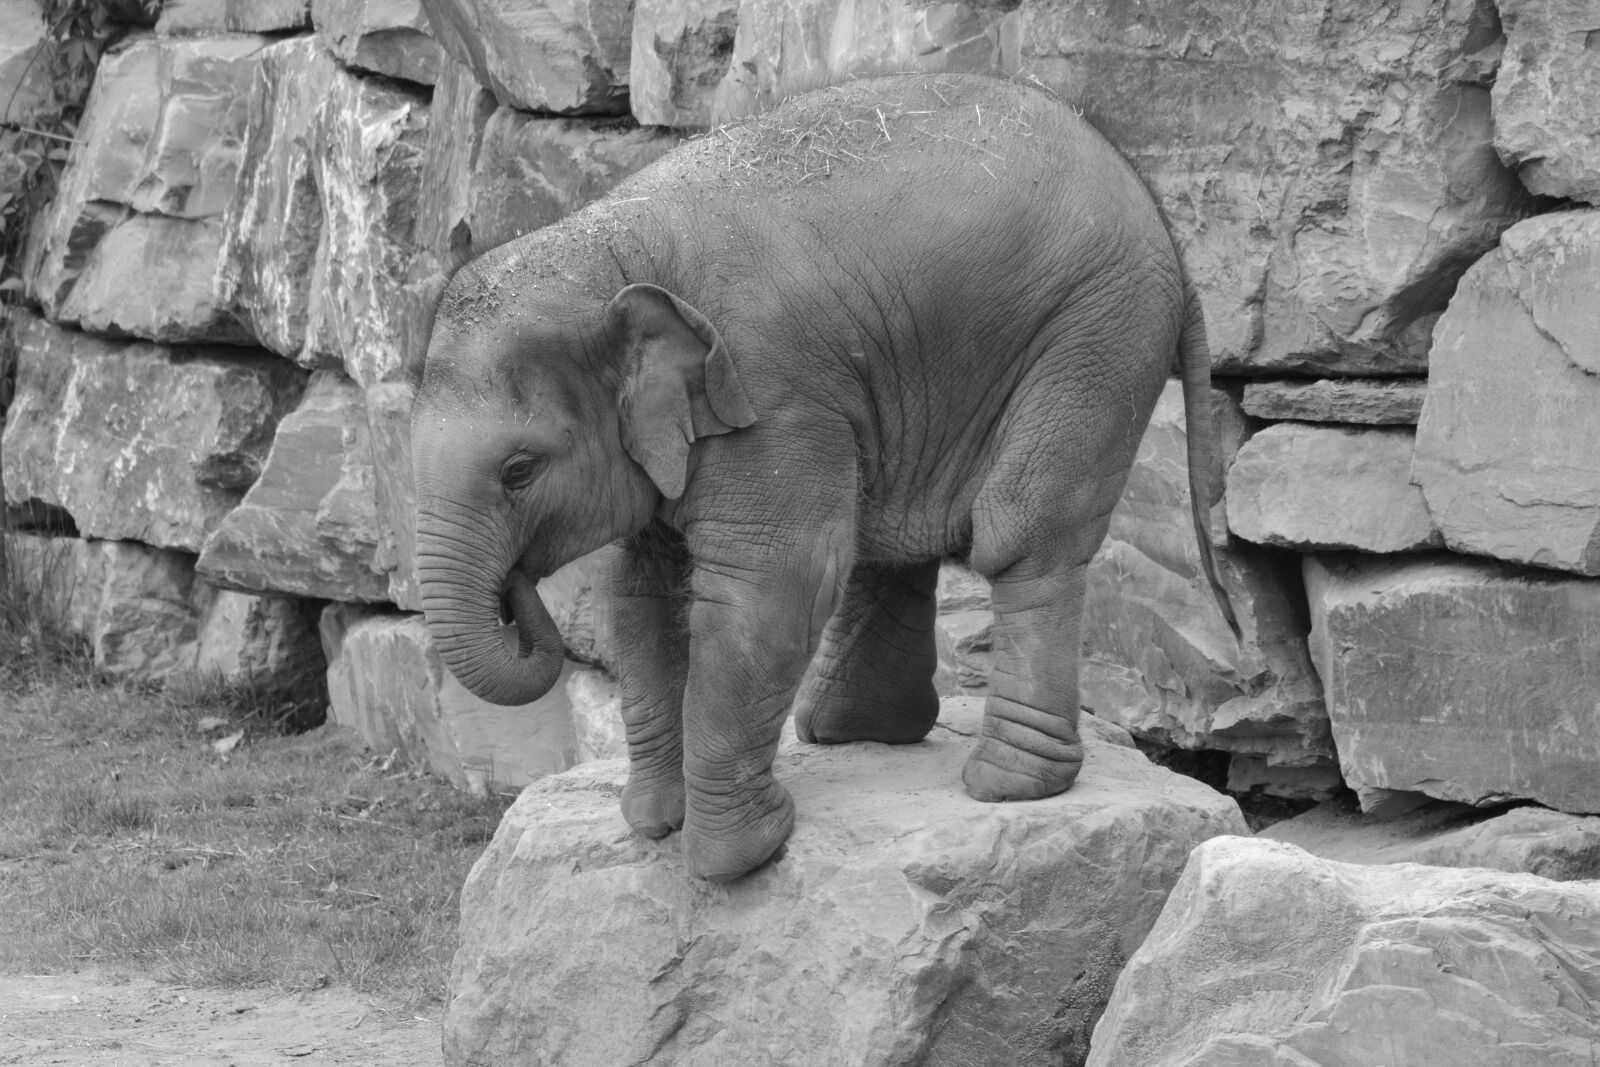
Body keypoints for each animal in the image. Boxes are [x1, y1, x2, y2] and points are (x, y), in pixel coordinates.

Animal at [410, 73, 1235, 882]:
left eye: (519, 470)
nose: (515, 589)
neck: (609, 245)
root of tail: (1168, 229)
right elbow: (639, 595)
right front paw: (653, 823)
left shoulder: (772, 394)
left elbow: (774, 580)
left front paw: (742, 855)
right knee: (896, 541)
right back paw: (854, 731)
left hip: (1097, 335)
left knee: (1022, 537)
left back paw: (1007, 786)